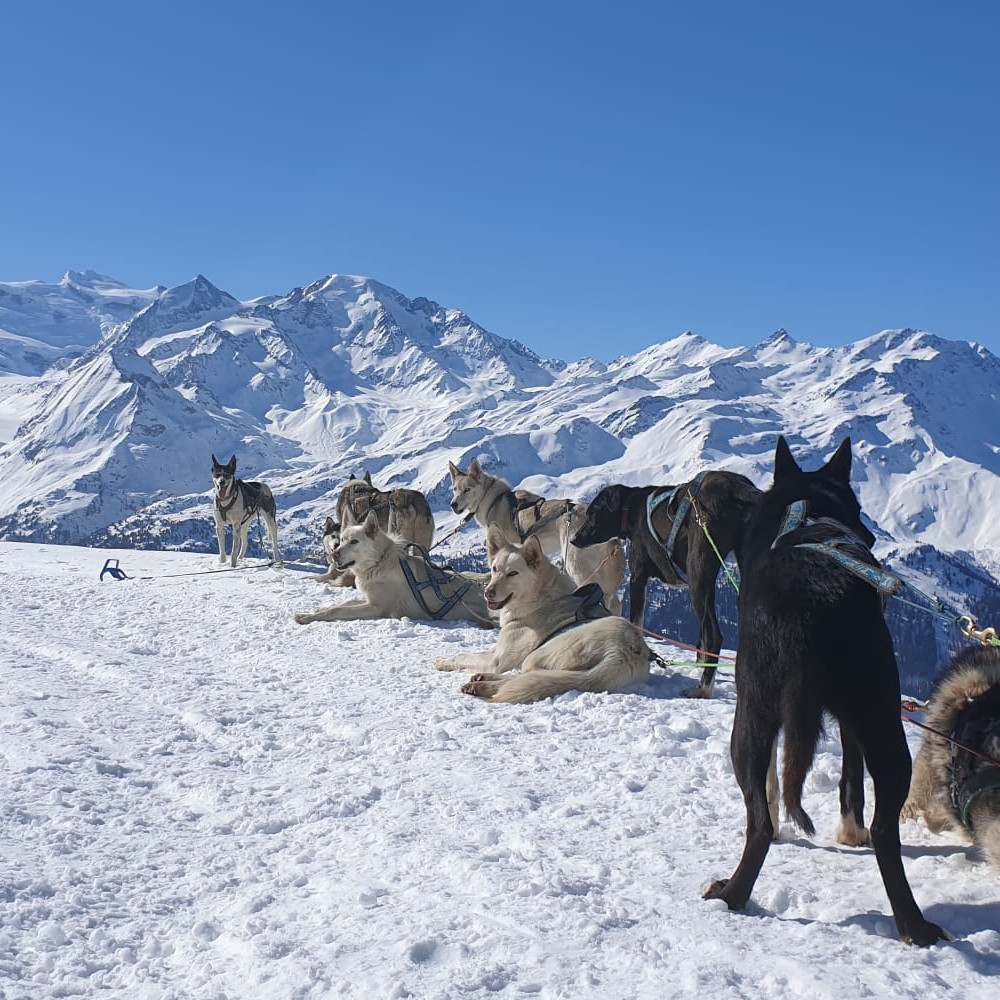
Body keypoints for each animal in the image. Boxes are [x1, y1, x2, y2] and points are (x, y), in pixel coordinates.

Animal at [292, 516, 492, 624]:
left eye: (354, 541)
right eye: (341, 540)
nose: (334, 554)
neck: (379, 562)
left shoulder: (375, 607)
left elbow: (338, 611)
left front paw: (307, 617)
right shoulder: (369, 599)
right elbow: (342, 603)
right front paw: (316, 610)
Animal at [434, 524, 652, 704]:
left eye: (513, 573)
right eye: (494, 569)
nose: (488, 592)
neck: (539, 597)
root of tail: (624, 651)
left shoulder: (497, 661)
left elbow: (464, 655)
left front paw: (444, 662)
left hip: (537, 655)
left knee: (524, 677)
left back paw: (482, 685)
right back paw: (483, 679)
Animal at [448, 458, 624, 612]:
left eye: (467, 489)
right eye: (455, 489)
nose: (453, 504)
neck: (493, 500)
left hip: (576, 566)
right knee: (615, 602)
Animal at [572, 474, 756, 696]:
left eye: (592, 512)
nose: (573, 539)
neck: (632, 509)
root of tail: (735, 488)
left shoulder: (638, 578)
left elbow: (637, 622)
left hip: (698, 573)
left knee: (714, 635)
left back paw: (703, 688)